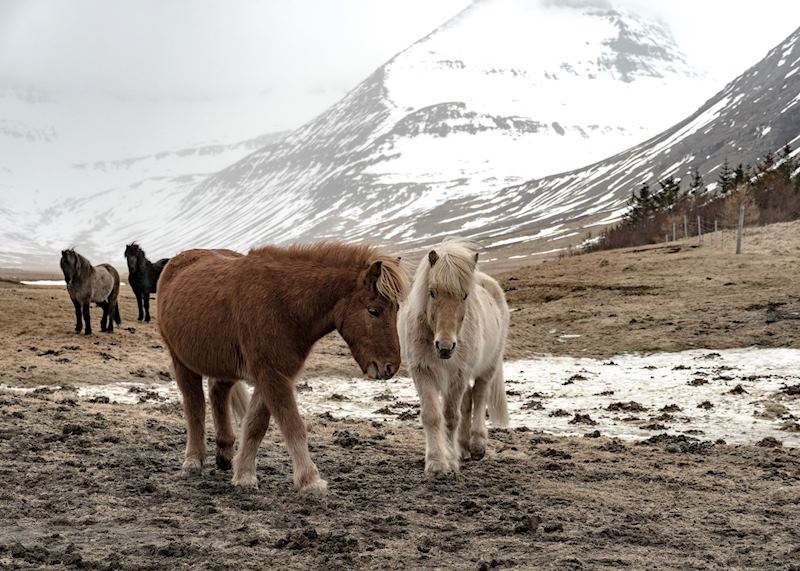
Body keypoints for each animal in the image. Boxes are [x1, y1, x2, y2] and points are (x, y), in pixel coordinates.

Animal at [157, 242, 408, 496]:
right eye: (373, 311)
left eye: (397, 308)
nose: (390, 367)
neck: (284, 303)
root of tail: (176, 262)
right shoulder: (272, 375)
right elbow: (293, 424)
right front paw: (309, 480)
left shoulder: (272, 375)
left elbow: (256, 425)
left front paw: (244, 475)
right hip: (182, 362)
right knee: (195, 408)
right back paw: (193, 461)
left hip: (224, 365)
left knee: (218, 393)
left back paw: (225, 453)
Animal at [398, 240, 509, 476]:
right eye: (432, 293)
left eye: (464, 295)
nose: (445, 347)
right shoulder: (422, 371)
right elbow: (432, 416)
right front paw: (436, 462)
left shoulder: (459, 373)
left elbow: (450, 417)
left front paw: (449, 460)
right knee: (467, 401)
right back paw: (464, 447)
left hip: (487, 367)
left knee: (479, 396)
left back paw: (477, 445)